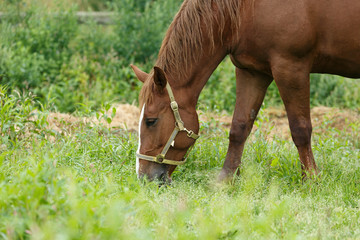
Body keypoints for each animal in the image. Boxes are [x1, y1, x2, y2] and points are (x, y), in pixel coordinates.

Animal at [131, 0, 360, 182]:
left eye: (151, 121)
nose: (143, 177)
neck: (246, 8)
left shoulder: (291, 68)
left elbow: (300, 129)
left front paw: (311, 180)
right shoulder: (252, 72)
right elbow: (239, 127)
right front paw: (225, 180)